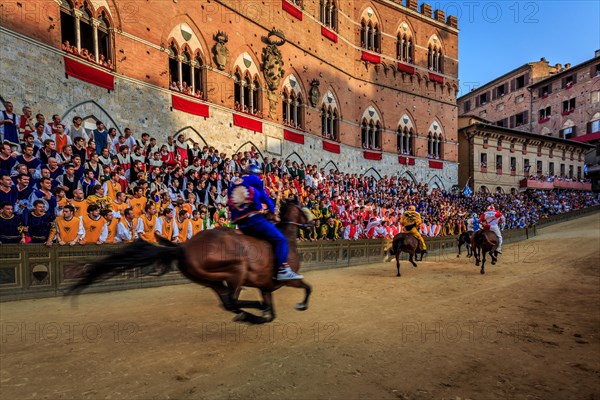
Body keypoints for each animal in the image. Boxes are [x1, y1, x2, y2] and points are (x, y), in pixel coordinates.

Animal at [67, 200, 314, 324]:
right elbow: (306, 287)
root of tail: (184, 247)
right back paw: (250, 312)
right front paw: (301, 305)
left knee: (228, 302)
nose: (311, 225)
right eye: (306, 209)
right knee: (232, 301)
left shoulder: (266, 286)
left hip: (212, 279)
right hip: (236, 269)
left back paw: (249, 313)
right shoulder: (287, 281)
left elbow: (272, 311)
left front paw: (267, 313)